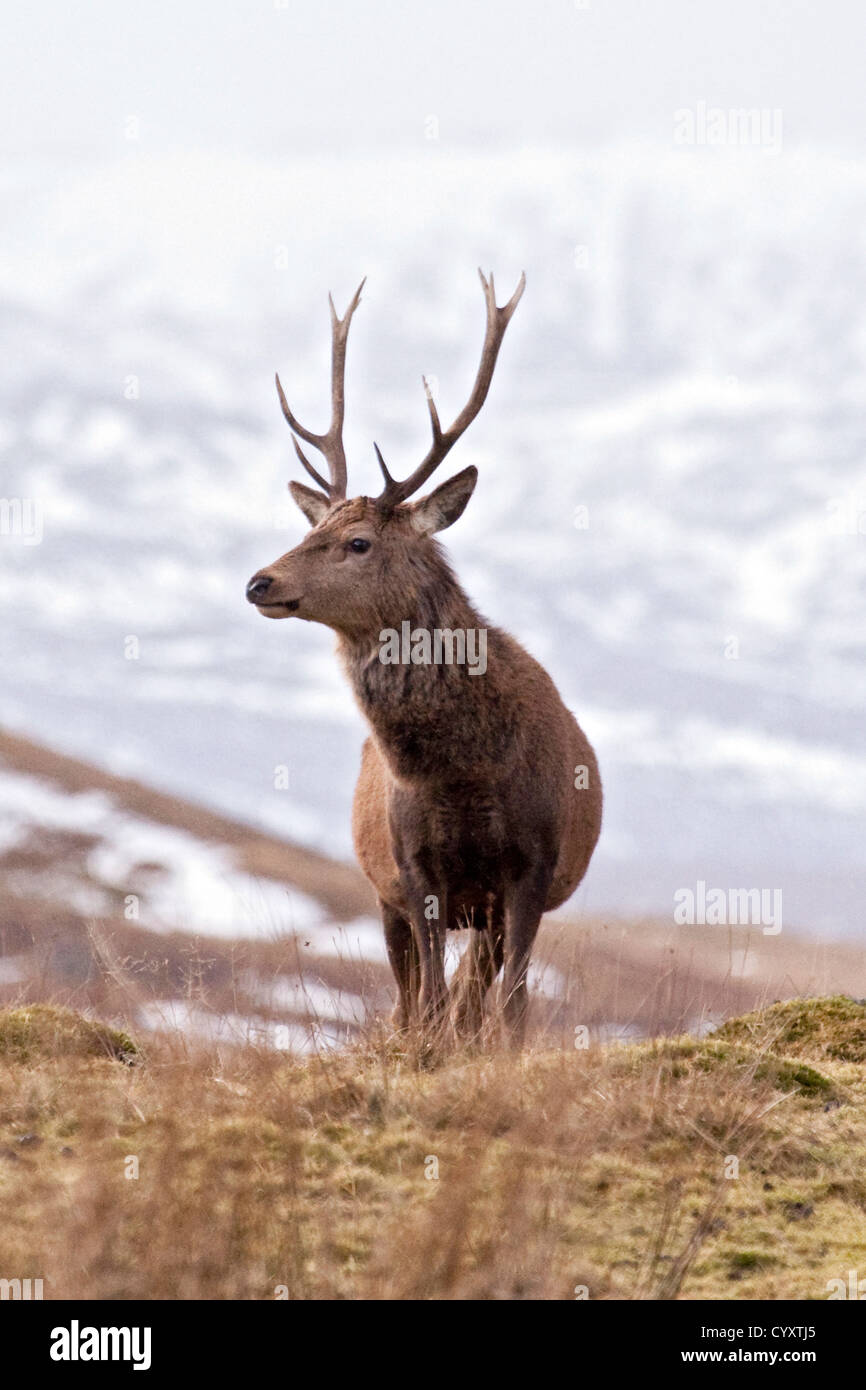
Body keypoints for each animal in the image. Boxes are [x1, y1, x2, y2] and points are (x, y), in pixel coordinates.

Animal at [246, 272, 602, 1045]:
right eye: (311, 527)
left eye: (358, 543)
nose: (259, 582)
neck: (463, 776)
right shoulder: (411, 868)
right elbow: (431, 1002)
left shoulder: (533, 867)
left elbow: (511, 1005)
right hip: (388, 898)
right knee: (414, 998)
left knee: (474, 994)